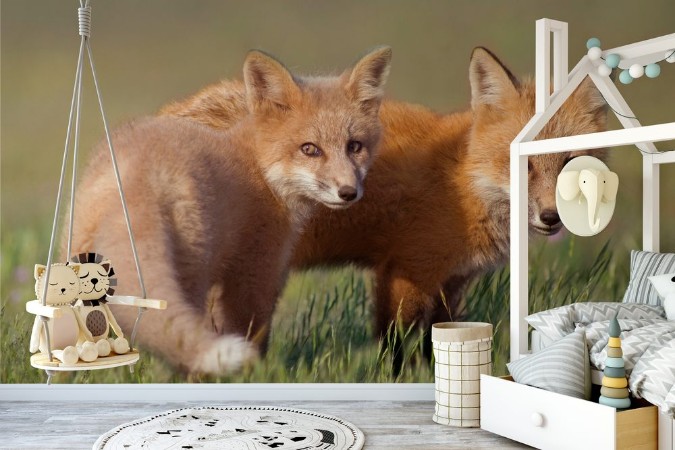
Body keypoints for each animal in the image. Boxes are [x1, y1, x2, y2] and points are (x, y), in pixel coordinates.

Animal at [68, 47, 392, 374]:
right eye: (310, 149)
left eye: (355, 146)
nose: (348, 192)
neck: (257, 163)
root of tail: (138, 176)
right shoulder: (255, 270)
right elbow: (252, 332)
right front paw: (257, 374)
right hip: (194, 271)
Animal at [160, 47, 609, 353]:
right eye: (520, 164)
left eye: (571, 163)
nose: (551, 217)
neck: (462, 180)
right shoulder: (406, 270)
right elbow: (398, 345)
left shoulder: (453, 283)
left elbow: (440, 342)